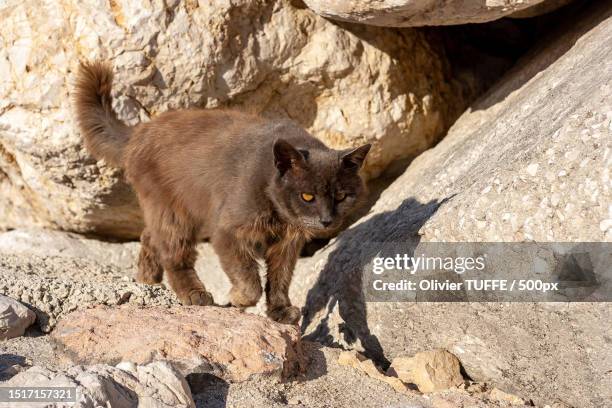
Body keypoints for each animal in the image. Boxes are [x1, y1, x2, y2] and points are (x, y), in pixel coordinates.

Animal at [71, 60, 368, 324]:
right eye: (308, 196)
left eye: (341, 196)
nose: (326, 220)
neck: (276, 207)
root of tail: (140, 130)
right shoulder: (227, 231)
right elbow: (249, 279)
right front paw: (238, 298)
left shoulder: (287, 242)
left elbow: (280, 278)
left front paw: (280, 311)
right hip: (174, 210)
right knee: (174, 253)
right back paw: (194, 294)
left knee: (149, 237)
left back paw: (148, 281)